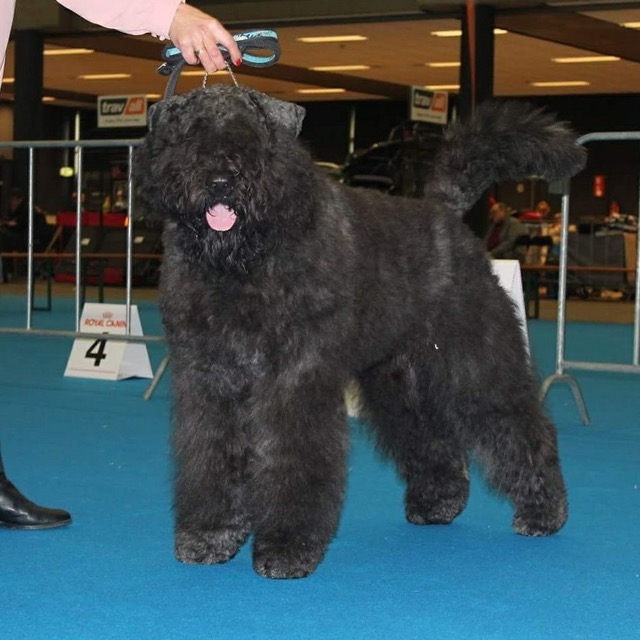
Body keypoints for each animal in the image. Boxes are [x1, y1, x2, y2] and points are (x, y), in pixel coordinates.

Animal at [135, 87, 584, 584]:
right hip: (398, 377)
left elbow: (292, 457)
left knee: (518, 425)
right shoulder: (210, 377)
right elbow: (212, 454)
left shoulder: (295, 378)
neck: (244, 263)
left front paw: (287, 546)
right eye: (189, 133)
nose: (219, 180)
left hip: (473, 360)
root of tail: (443, 212)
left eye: (252, 135)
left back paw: (543, 511)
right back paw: (437, 501)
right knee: (428, 435)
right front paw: (210, 534)